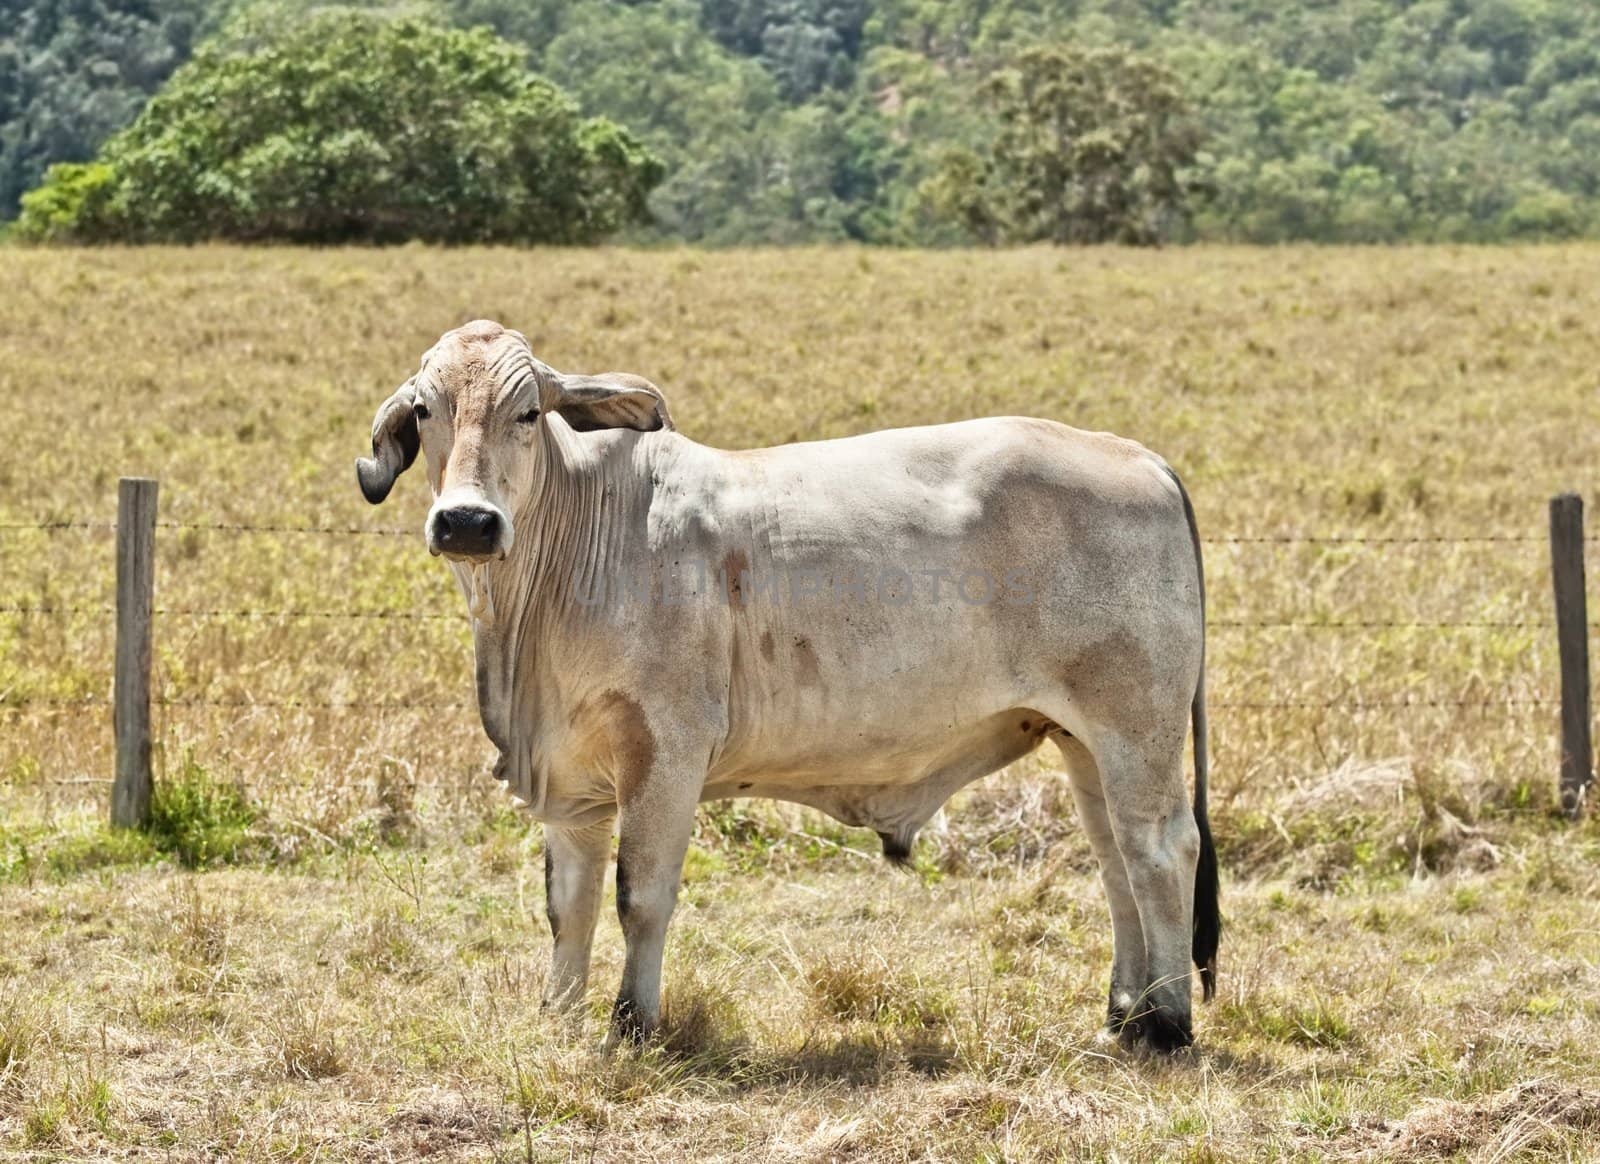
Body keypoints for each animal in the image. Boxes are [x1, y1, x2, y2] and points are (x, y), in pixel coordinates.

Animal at [356, 319, 1216, 1055]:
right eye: (427, 409)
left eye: (529, 412)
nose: (467, 522)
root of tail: (1136, 455)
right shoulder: (571, 782)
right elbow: (568, 906)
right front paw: (558, 1016)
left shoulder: (665, 752)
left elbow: (640, 895)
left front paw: (632, 1023)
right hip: (1083, 741)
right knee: (1116, 861)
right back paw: (1122, 1013)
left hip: (1137, 728)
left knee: (1162, 850)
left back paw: (1167, 1024)